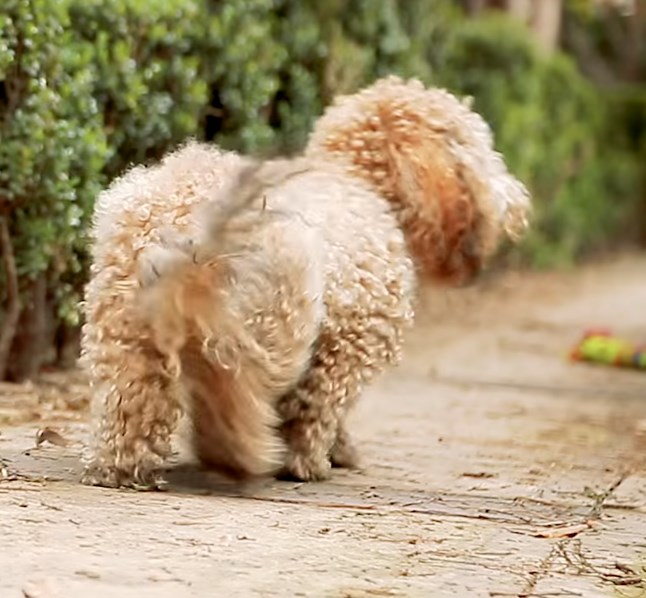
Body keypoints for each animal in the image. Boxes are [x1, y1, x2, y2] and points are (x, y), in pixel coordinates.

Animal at [81, 76, 530, 488]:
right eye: (477, 147)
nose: (518, 197)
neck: (360, 181)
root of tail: (183, 214)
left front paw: (338, 450)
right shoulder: (348, 341)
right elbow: (320, 405)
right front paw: (310, 460)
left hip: (127, 325)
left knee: (131, 400)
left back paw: (122, 466)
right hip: (270, 320)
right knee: (234, 389)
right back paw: (238, 453)